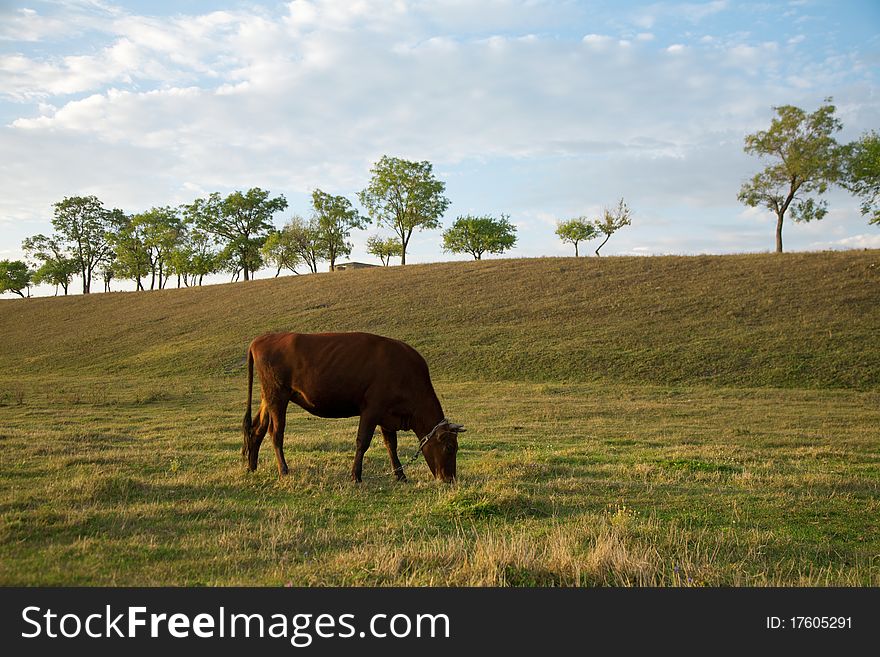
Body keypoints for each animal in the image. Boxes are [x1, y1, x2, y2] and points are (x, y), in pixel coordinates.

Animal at [237, 334, 464, 482]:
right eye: (449, 447)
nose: (450, 479)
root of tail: (261, 339)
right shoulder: (371, 409)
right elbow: (362, 442)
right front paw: (356, 476)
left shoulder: (387, 416)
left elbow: (391, 445)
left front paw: (400, 475)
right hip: (278, 397)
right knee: (276, 433)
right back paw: (283, 470)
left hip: (268, 398)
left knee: (257, 429)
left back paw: (251, 467)